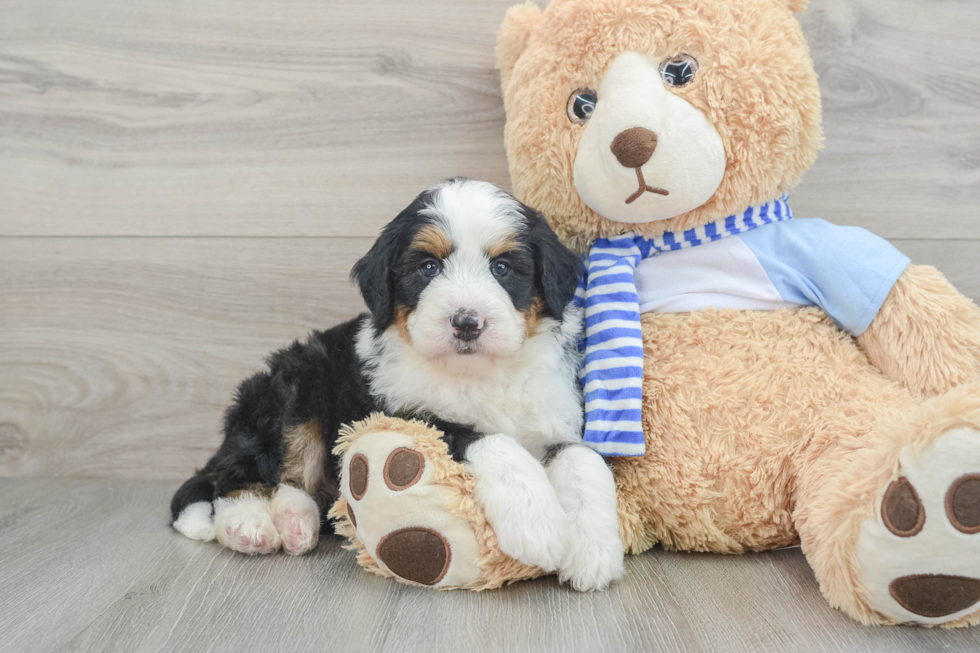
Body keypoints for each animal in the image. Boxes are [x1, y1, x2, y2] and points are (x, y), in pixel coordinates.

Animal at [169, 178, 624, 592]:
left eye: (503, 268)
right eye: (428, 267)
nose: (466, 322)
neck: (480, 373)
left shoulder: (556, 415)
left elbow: (584, 462)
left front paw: (593, 552)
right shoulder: (404, 414)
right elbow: (491, 441)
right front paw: (537, 524)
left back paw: (296, 520)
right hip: (291, 389)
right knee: (240, 475)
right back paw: (250, 524)